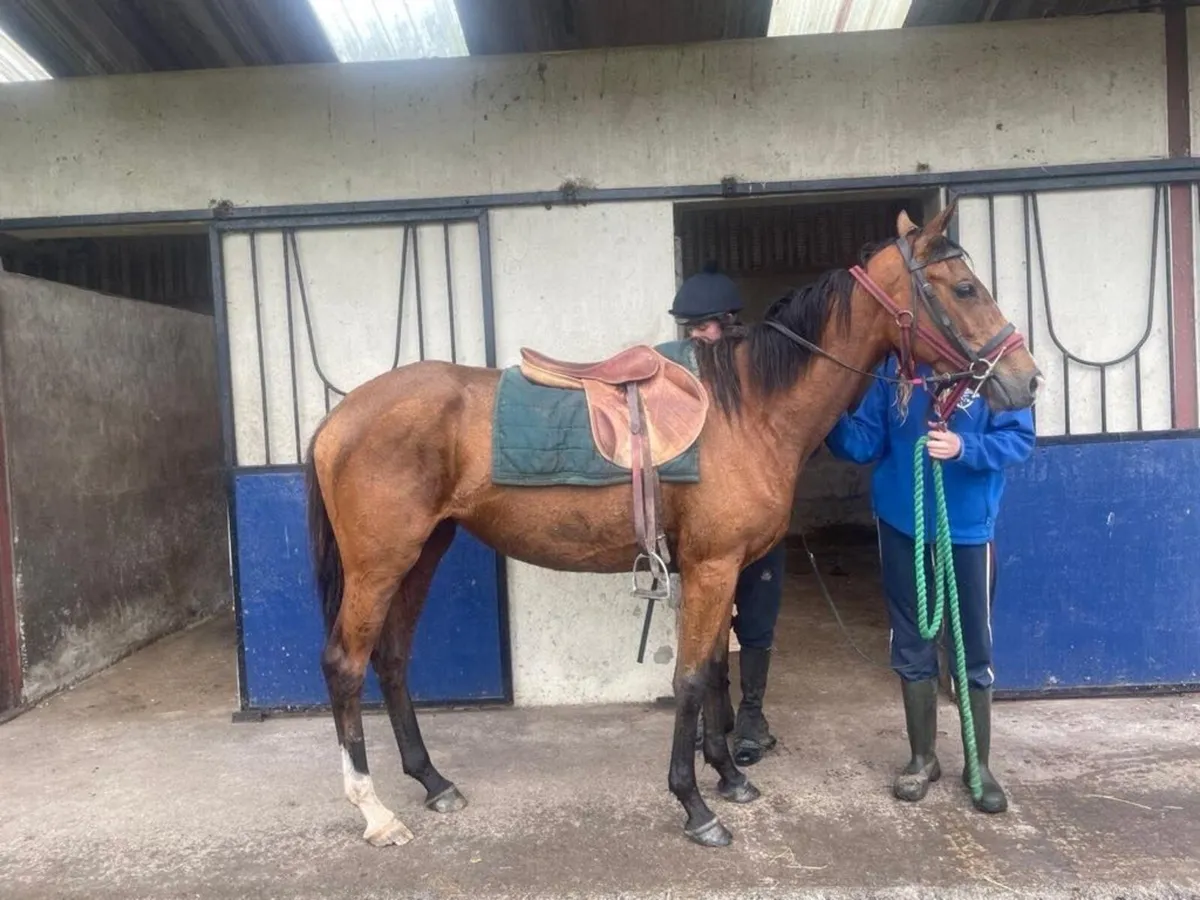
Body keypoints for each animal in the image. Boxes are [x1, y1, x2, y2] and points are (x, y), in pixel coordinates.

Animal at [303, 202, 1042, 849]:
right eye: (966, 286)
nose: (1026, 380)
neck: (747, 410)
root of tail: (341, 417)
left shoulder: (717, 568)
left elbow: (715, 670)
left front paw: (729, 776)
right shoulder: (713, 567)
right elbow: (688, 678)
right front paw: (695, 806)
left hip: (422, 553)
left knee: (392, 659)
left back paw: (433, 782)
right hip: (380, 564)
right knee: (345, 665)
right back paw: (374, 812)